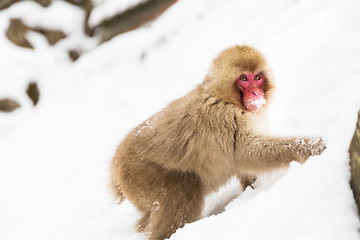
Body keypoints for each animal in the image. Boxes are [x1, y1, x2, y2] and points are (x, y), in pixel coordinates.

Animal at [110, 45, 326, 240]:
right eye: (243, 79)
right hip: (142, 176)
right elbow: (247, 152)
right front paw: (312, 146)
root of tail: (116, 165)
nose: (256, 95)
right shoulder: (220, 117)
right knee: (184, 192)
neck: (223, 96)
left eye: (257, 77)